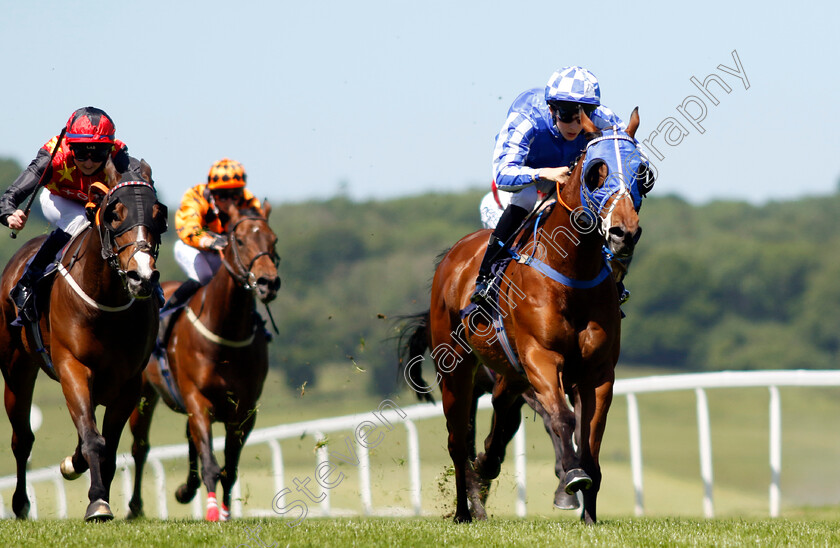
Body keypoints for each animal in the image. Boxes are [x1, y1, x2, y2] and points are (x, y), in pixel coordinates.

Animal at [0, 159, 169, 524]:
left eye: (158, 213)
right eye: (115, 214)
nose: (142, 277)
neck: (106, 301)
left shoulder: (129, 382)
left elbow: (107, 444)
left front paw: (87, 478)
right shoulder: (73, 367)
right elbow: (94, 439)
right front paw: (97, 503)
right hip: (16, 367)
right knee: (22, 438)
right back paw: (20, 504)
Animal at [126, 203, 280, 520]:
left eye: (274, 240)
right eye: (240, 241)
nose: (268, 282)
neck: (225, 332)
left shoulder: (244, 411)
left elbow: (229, 469)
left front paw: (225, 511)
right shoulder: (197, 398)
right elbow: (211, 462)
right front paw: (211, 512)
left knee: (189, 439)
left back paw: (186, 489)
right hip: (144, 393)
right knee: (140, 447)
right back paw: (135, 507)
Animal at [398, 109, 648, 524]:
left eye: (641, 171)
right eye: (596, 171)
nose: (622, 233)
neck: (572, 274)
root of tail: (453, 256)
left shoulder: (597, 373)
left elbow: (591, 437)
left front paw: (589, 514)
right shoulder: (540, 359)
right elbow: (561, 418)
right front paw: (571, 479)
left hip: (509, 376)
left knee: (496, 427)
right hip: (458, 371)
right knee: (458, 441)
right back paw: (465, 510)